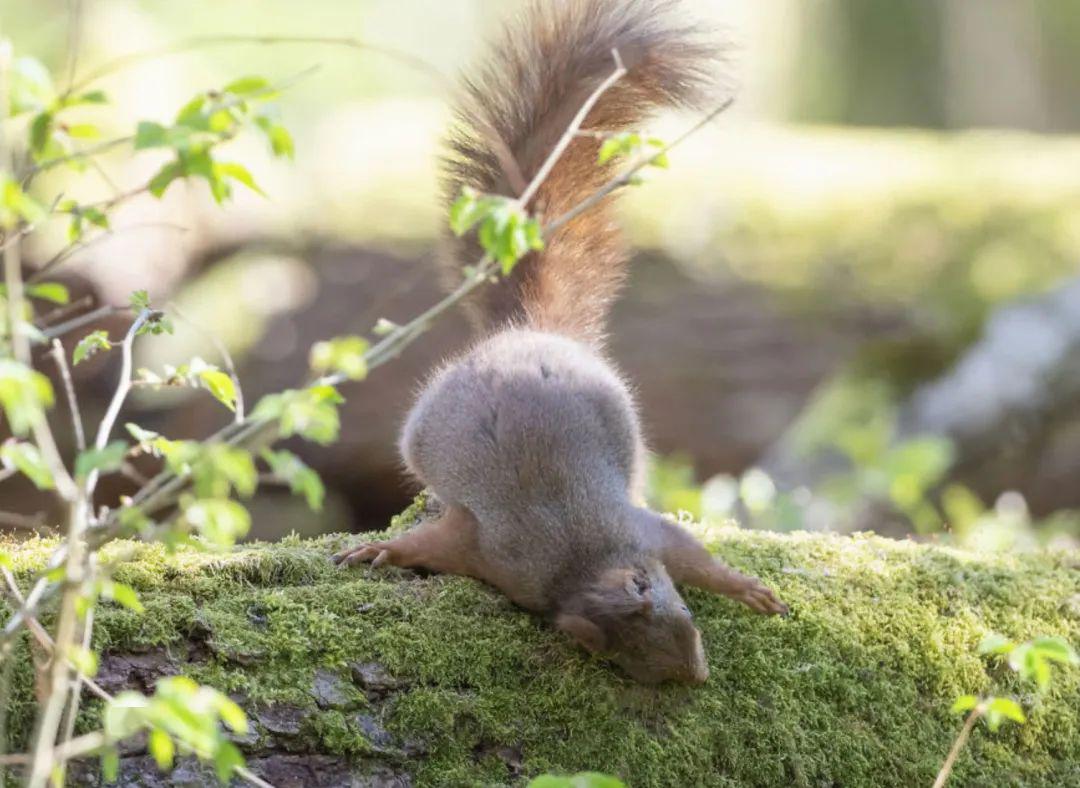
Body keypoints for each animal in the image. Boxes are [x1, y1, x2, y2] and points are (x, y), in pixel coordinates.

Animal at [332, 0, 790, 682]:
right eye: (640, 667)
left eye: (685, 621)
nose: (698, 676)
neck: (583, 562)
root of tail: (529, 330)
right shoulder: (497, 556)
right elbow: (435, 543)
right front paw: (381, 550)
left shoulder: (638, 532)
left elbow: (693, 553)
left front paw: (744, 588)